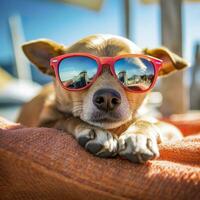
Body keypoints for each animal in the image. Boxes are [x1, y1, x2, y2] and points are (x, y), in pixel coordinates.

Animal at [16, 34, 188, 162]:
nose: (107, 98)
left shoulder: (173, 130)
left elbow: (147, 122)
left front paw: (138, 136)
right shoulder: (44, 124)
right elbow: (68, 119)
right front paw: (95, 131)